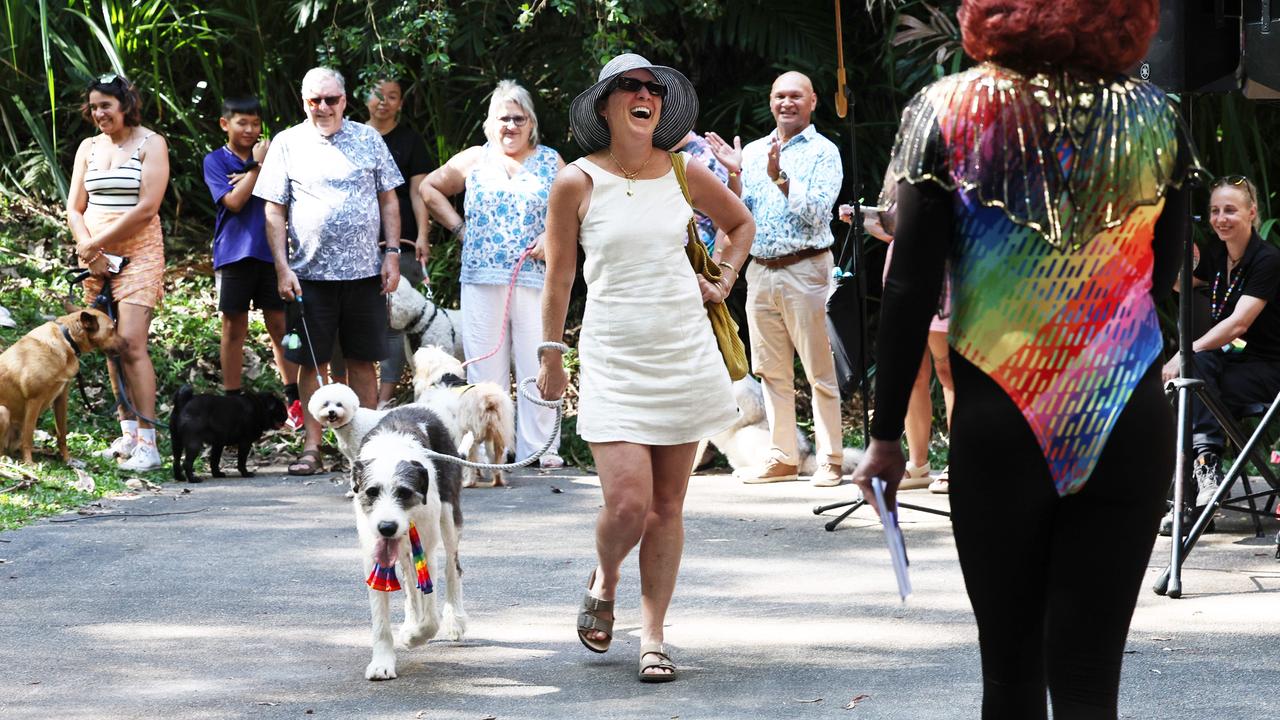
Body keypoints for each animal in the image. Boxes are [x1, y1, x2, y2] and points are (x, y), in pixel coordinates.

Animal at [0, 307, 120, 461]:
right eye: (112, 329)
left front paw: (67, 459)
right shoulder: (34, 400)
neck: (68, 339)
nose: (129, 344)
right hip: (3, 412)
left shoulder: (61, 397)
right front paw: (29, 462)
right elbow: (28, 437)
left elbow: (62, 433)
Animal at [353, 404, 468, 676]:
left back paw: (455, 620)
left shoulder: (426, 546)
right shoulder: (374, 552)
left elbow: (430, 616)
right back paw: (410, 622)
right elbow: (382, 617)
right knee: (408, 581)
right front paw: (382, 662)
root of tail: (421, 406)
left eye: (404, 492)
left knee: (453, 568)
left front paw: (416, 636)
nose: (387, 527)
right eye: (372, 492)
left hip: (449, 514)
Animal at [407, 343, 512, 486]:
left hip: (467, 435)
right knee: (494, 459)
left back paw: (469, 482)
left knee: (468, 460)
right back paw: (497, 480)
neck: (444, 374)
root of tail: (487, 399)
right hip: (495, 436)